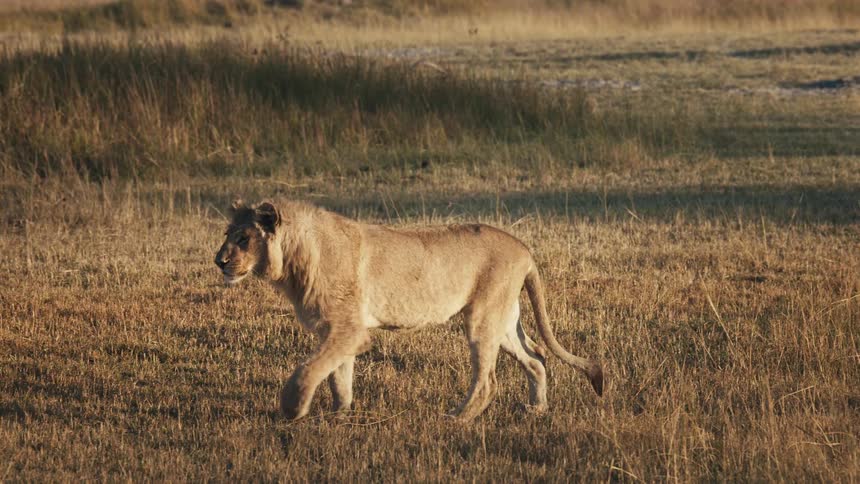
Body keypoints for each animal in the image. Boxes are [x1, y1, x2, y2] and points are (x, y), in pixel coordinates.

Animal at [214, 199, 603, 421]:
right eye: (226, 235)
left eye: (244, 239)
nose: (218, 261)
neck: (295, 259)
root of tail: (526, 250)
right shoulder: (337, 330)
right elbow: (338, 375)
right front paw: (340, 414)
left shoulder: (349, 329)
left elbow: (309, 369)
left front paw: (292, 409)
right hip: (505, 320)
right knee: (536, 357)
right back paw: (536, 409)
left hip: (482, 318)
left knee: (488, 380)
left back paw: (458, 419)